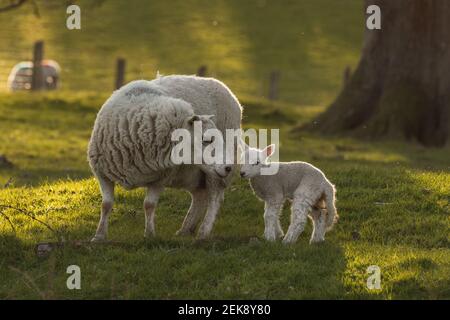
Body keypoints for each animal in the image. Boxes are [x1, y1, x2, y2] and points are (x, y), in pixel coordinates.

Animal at [88, 75, 243, 240]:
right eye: (206, 139)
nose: (228, 167)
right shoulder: (102, 174)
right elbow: (106, 204)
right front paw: (99, 236)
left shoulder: (160, 178)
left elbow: (149, 205)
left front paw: (149, 235)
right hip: (193, 173)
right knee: (200, 195)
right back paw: (185, 229)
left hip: (213, 172)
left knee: (215, 197)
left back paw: (203, 232)